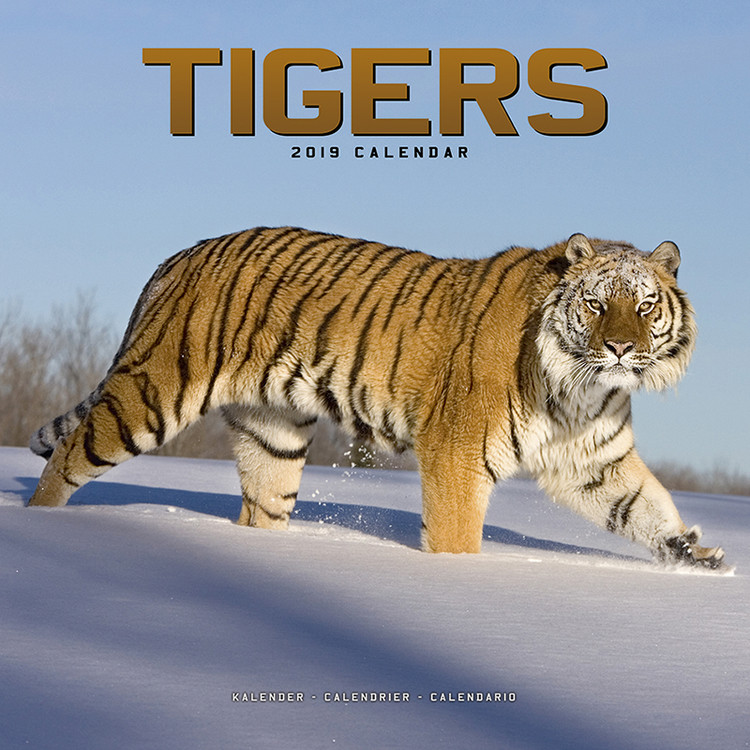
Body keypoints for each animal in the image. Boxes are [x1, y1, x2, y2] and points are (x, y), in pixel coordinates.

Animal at [27, 227, 728, 570]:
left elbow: (645, 507)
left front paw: (695, 554)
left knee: (259, 510)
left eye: (644, 306)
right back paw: (40, 526)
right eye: (597, 305)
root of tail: (179, 256)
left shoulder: (594, 460)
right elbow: (456, 538)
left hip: (273, 435)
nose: (621, 347)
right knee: (68, 454)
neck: (583, 385)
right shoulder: (456, 453)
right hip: (152, 393)